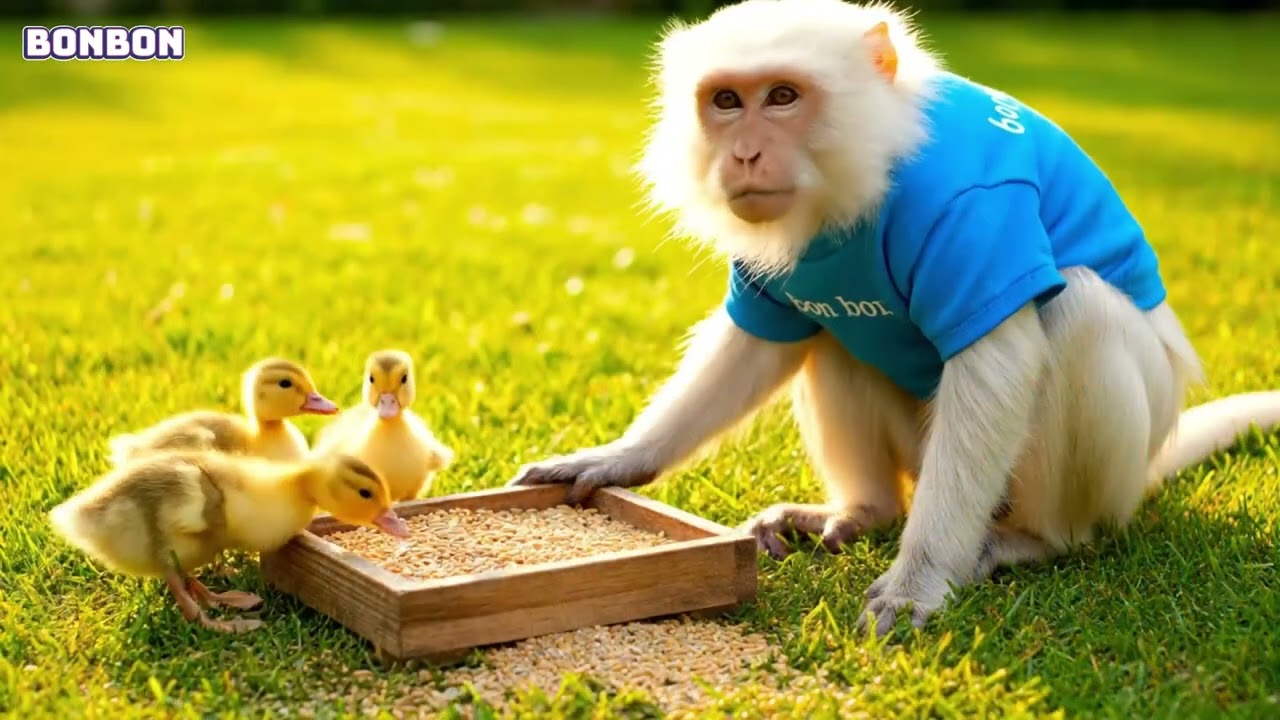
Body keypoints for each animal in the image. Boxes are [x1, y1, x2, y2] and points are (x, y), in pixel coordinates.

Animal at [509, 0, 1280, 636]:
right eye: (726, 101)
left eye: (782, 97)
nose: (745, 154)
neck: (867, 168)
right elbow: (760, 343)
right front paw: (622, 456)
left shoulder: (974, 207)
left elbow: (996, 365)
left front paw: (921, 581)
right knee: (837, 338)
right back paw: (864, 510)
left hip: (1105, 475)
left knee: (1078, 312)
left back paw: (1037, 541)